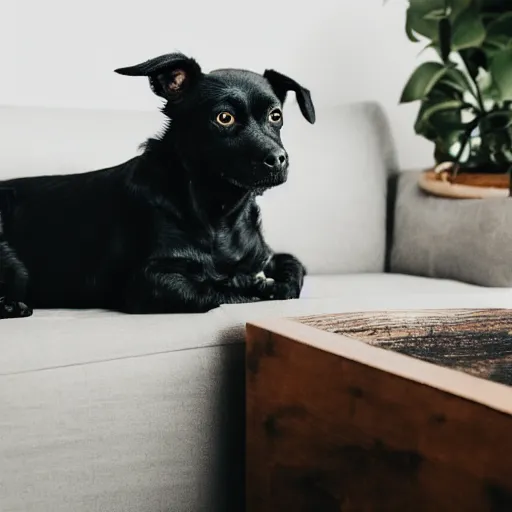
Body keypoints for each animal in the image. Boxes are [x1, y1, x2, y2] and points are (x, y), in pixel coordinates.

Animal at [0, 53, 316, 316]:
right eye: (224, 117)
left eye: (276, 115)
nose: (278, 159)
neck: (219, 212)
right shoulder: (148, 283)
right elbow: (212, 290)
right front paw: (253, 285)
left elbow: (293, 267)